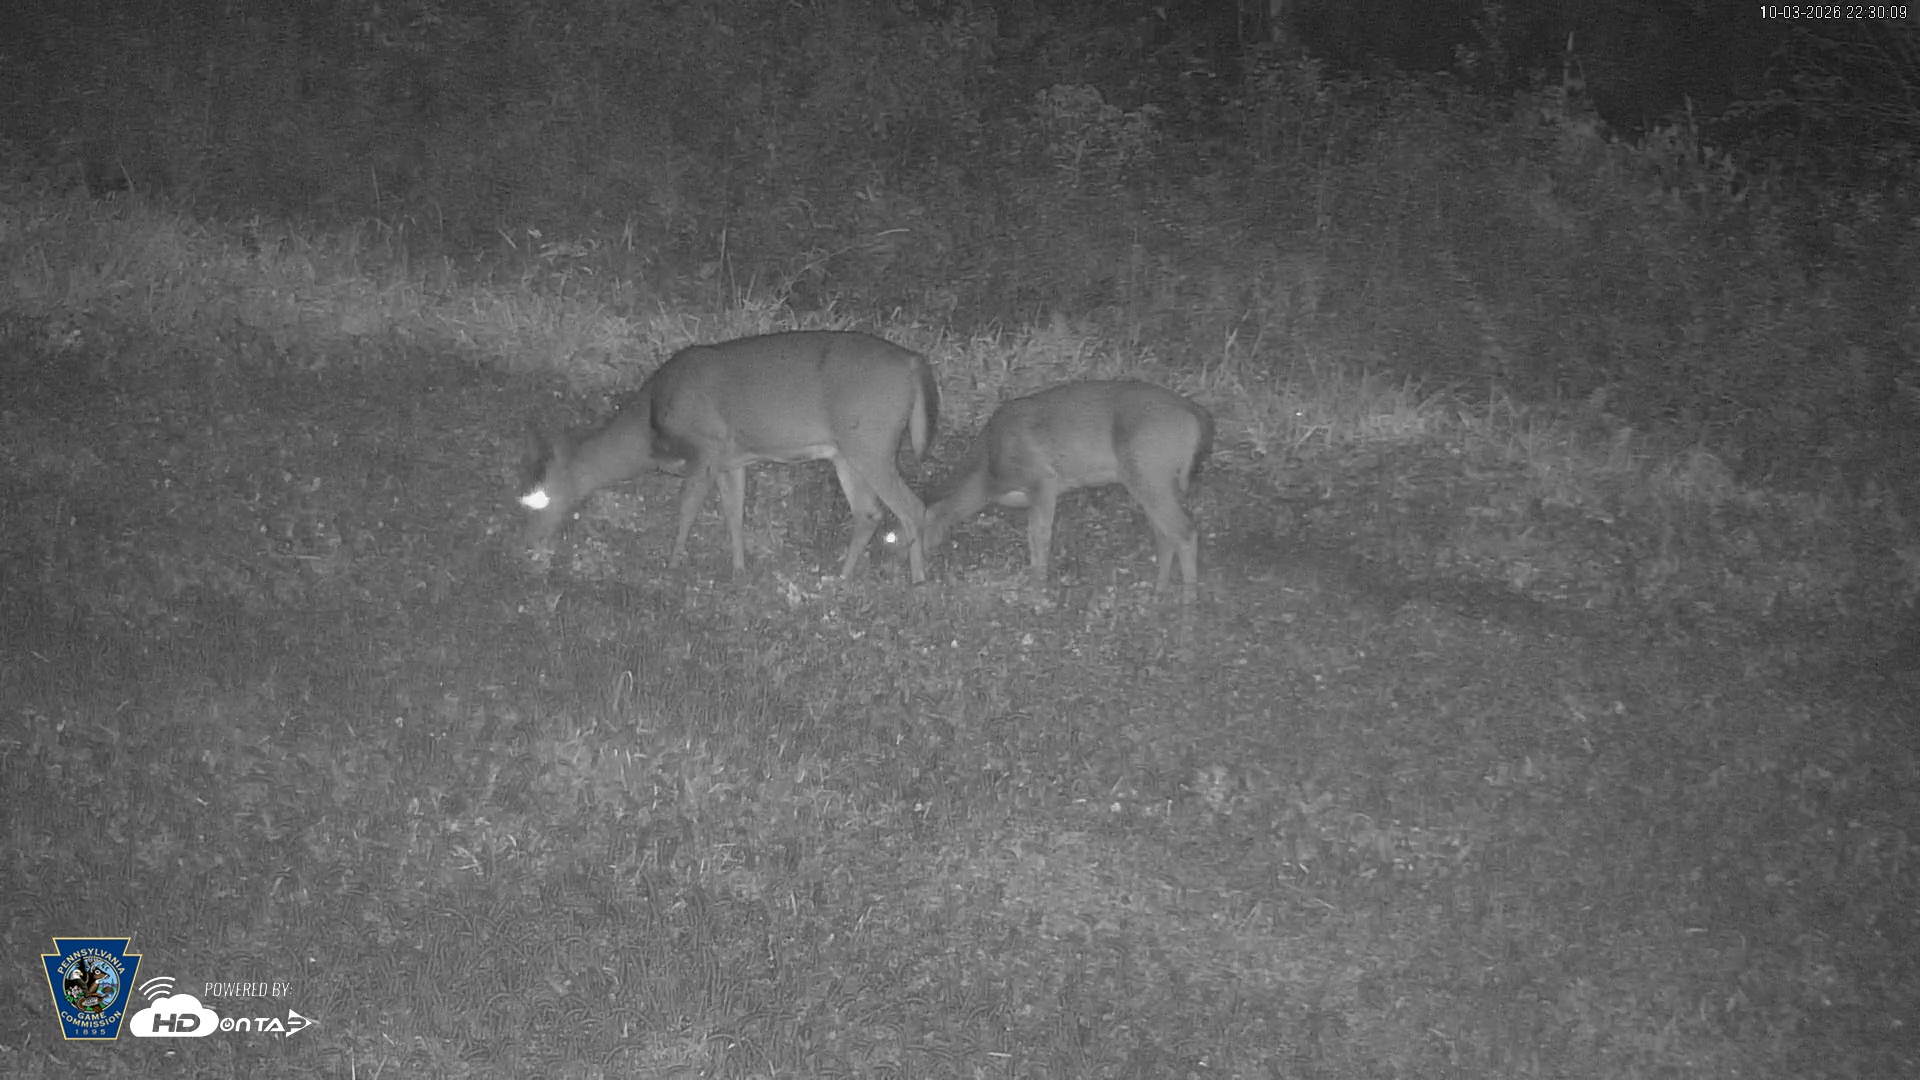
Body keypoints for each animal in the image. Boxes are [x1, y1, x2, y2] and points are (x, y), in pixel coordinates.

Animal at [520, 331, 939, 582]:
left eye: (542, 497)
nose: (529, 538)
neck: (649, 423)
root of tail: (913, 362)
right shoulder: (731, 460)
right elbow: (733, 514)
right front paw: (739, 570)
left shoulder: (705, 448)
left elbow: (687, 509)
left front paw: (672, 564)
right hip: (847, 451)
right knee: (869, 513)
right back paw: (840, 578)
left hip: (871, 441)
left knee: (912, 507)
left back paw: (917, 581)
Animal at [919, 380, 1213, 602]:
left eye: (912, 534)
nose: (915, 570)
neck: (988, 473)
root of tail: (1194, 413)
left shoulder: (1042, 479)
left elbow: (1039, 536)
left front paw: (1038, 589)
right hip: (1151, 477)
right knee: (1166, 535)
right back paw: (1158, 592)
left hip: (1149, 469)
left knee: (1184, 531)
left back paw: (1188, 603)